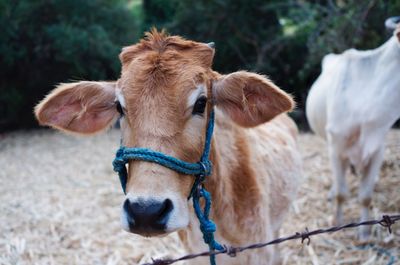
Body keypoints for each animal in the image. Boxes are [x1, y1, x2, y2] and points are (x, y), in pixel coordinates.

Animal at [306, 16, 400, 239]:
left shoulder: (377, 150)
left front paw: (365, 233)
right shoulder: (336, 148)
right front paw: (337, 221)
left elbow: (365, 196)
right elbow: (342, 194)